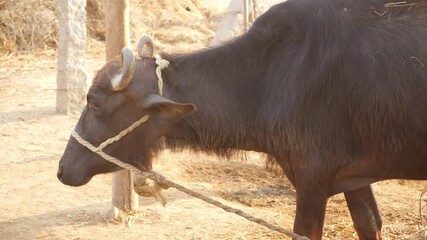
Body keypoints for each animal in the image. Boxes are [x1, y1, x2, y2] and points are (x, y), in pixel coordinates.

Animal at [57, 0, 427, 239]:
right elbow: (369, 223)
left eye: (94, 103)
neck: (272, 73)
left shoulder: (312, 180)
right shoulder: (354, 178)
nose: (63, 169)